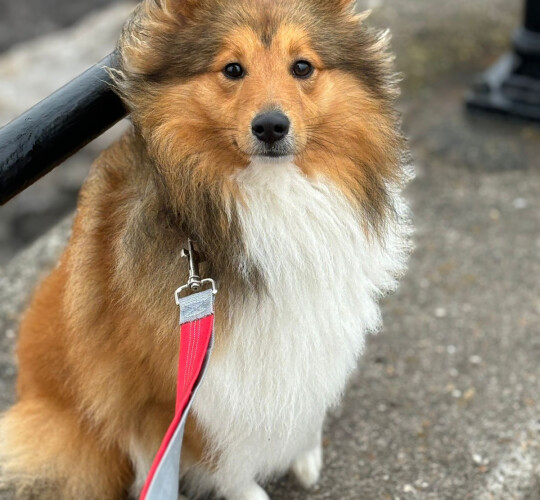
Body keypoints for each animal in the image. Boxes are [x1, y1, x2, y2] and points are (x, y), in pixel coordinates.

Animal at [0, 0, 412, 500]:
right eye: (232, 68)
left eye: (302, 66)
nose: (271, 127)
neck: (271, 196)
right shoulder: (175, 391)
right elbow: (222, 459)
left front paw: (305, 452)